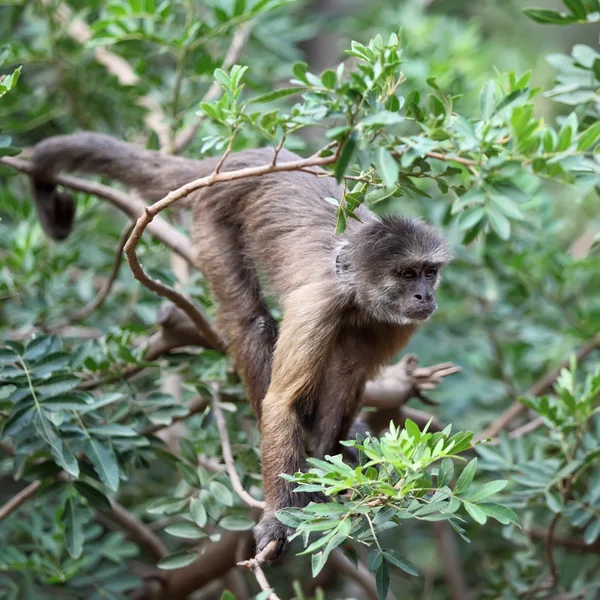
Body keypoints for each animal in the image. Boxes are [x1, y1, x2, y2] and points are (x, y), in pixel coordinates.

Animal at [27, 131, 450, 556]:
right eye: (407, 273)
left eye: (429, 273)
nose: (425, 296)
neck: (359, 296)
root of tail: (247, 158)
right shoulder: (320, 303)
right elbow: (281, 402)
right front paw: (279, 515)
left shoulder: (397, 323)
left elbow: (350, 375)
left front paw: (329, 465)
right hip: (214, 213)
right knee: (251, 323)